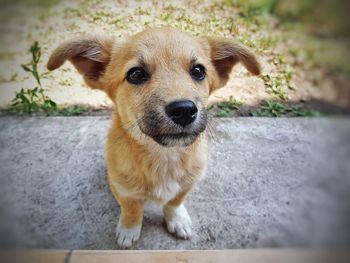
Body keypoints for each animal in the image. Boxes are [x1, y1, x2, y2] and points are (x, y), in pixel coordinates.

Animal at [46, 27, 260, 249]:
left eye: (198, 71)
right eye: (136, 74)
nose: (184, 110)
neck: (164, 157)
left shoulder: (188, 183)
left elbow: (175, 201)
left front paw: (177, 219)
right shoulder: (124, 191)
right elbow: (132, 210)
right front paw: (129, 229)